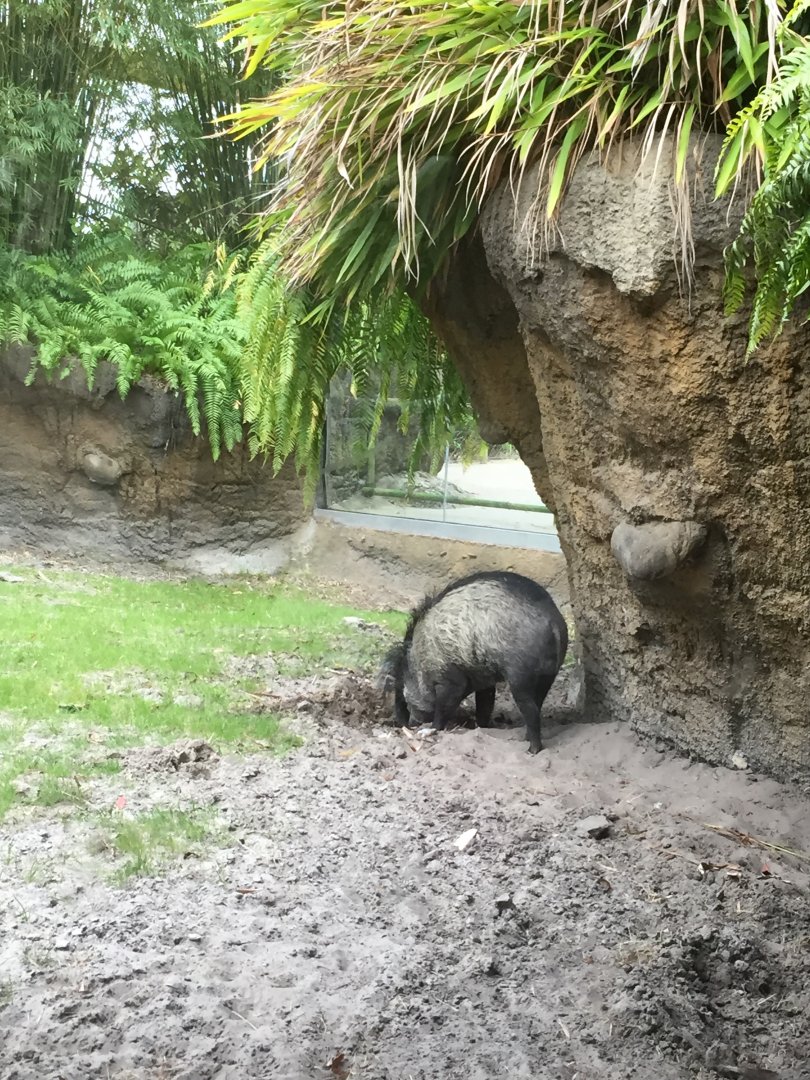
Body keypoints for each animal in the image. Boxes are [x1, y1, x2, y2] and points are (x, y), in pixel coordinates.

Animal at [379, 571, 567, 753]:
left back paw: (531, 750)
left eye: (405, 699)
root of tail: (552, 622)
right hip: (548, 675)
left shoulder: (450, 680)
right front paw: (482, 726)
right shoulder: (485, 681)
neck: (420, 661)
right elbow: (485, 704)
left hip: (520, 677)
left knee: (531, 710)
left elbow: (443, 708)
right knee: (538, 703)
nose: (410, 723)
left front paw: (431, 729)